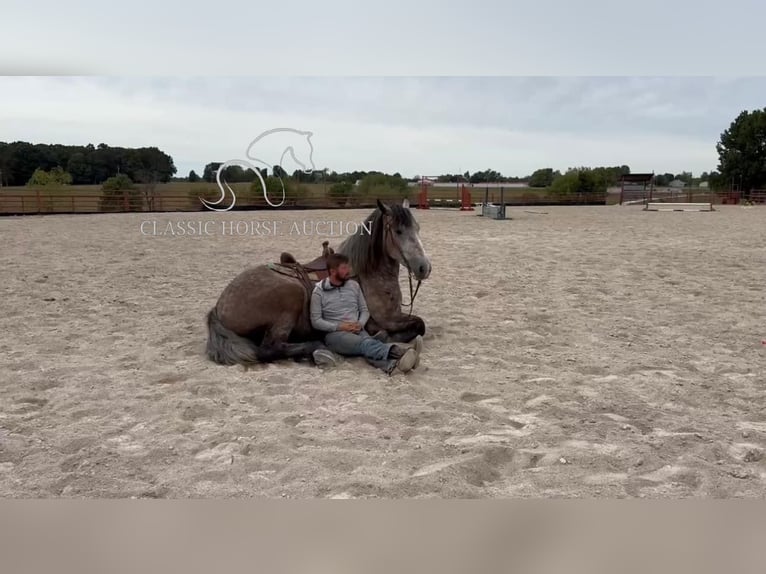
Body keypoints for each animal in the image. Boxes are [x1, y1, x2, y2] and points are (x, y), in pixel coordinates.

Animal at [204, 200, 432, 366]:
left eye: (418, 228)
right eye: (398, 231)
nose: (424, 267)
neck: (367, 273)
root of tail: (219, 307)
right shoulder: (385, 320)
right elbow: (419, 325)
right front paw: (385, 336)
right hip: (291, 295)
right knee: (269, 349)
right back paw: (317, 347)